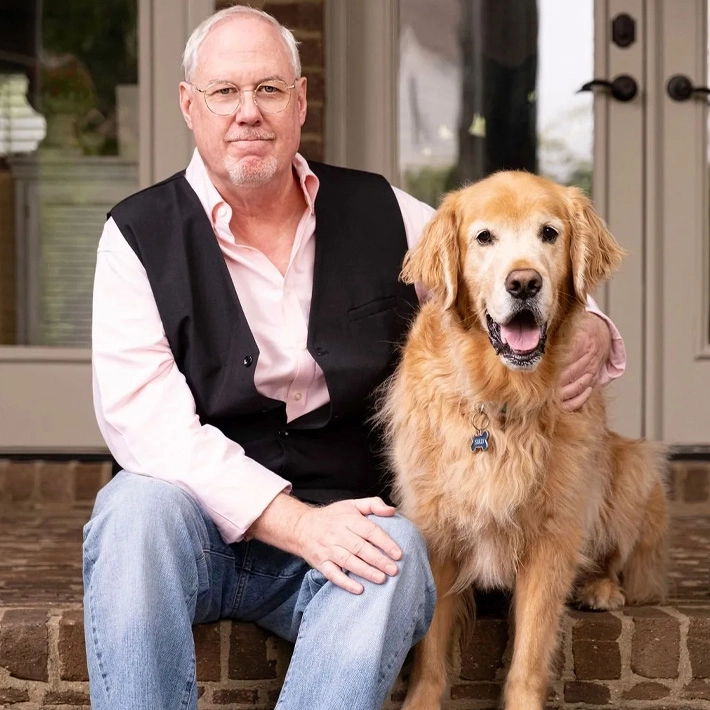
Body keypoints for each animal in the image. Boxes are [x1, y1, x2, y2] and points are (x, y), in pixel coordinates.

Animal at [382, 172, 672, 710]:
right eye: (483, 237)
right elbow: (430, 649)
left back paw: (601, 589)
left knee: (617, 561)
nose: (523, 283)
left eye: (549, 234)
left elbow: (530, 654)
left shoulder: (551, 536)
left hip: (633, 467)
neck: (501, 399)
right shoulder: (437, 527)